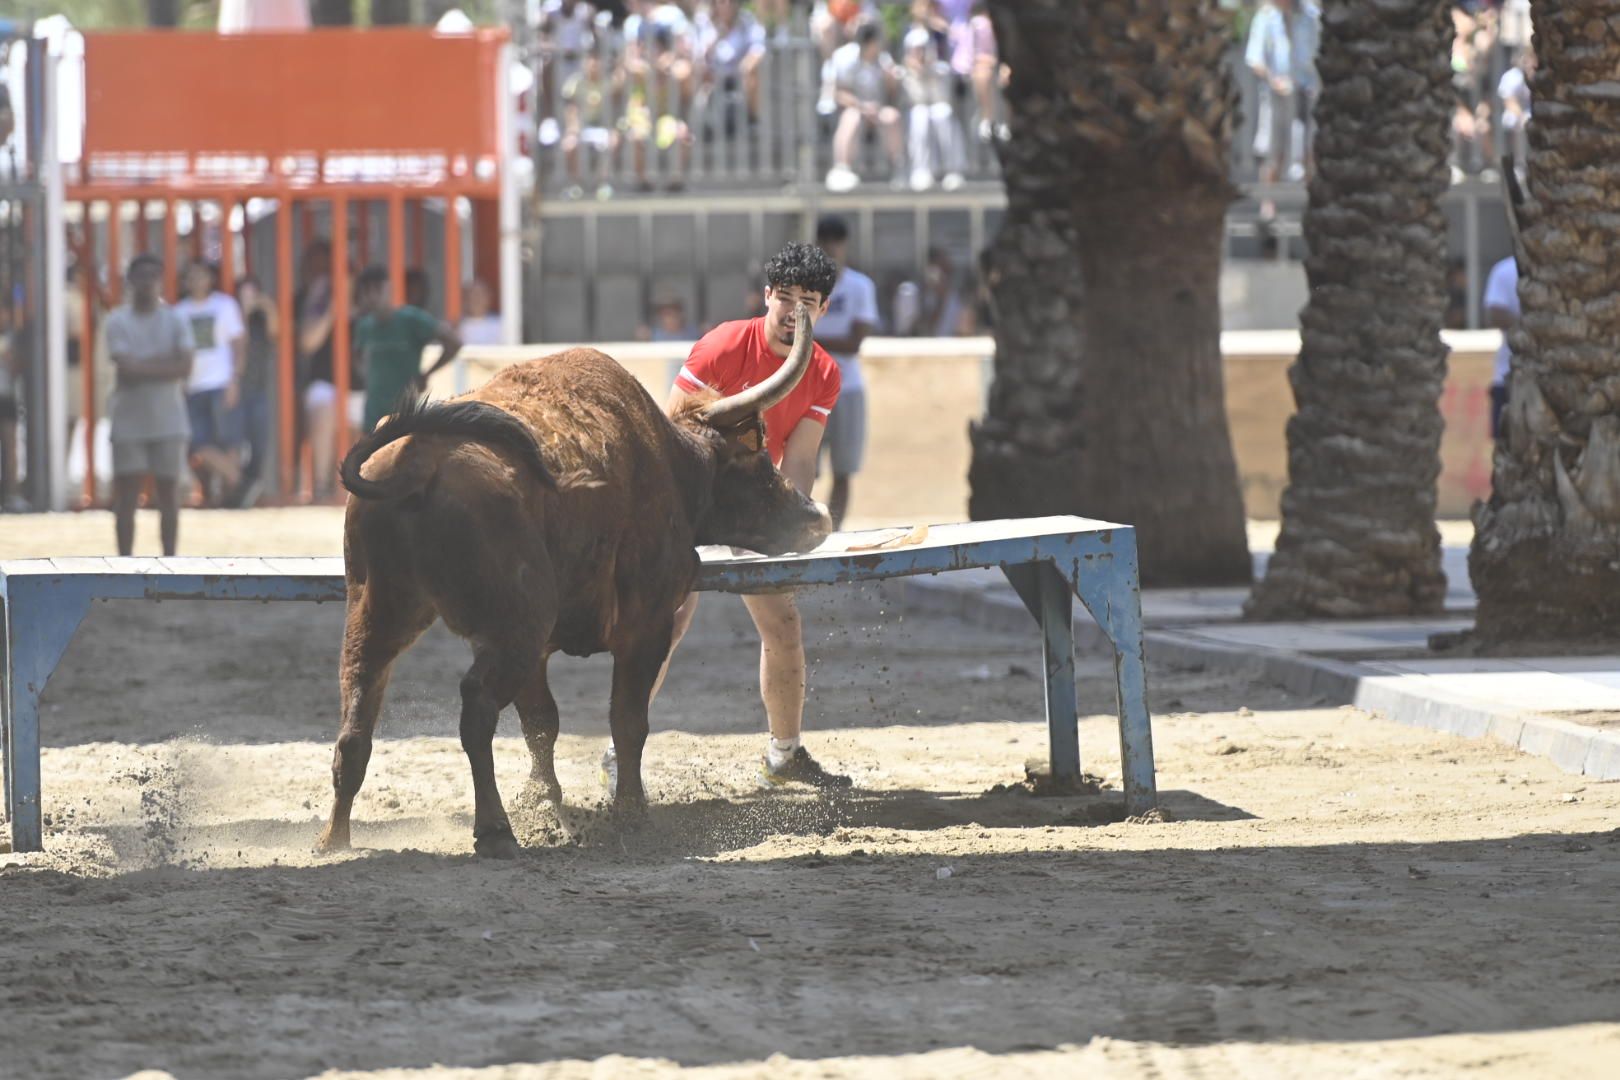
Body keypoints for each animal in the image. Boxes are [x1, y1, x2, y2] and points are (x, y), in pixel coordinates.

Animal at [314, 299, 829, 854]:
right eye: (755, 456)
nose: (816, 515)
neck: (671, 462)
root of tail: (421, 459)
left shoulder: (540, 649)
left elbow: (542, 723)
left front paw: (544, 803)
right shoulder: (644, 625)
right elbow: (627, 720)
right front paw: (630, 810)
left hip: (379, 613)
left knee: (356, 714)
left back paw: (334, 837)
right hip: (515, 625)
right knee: (476, 709)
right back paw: (493, 830)